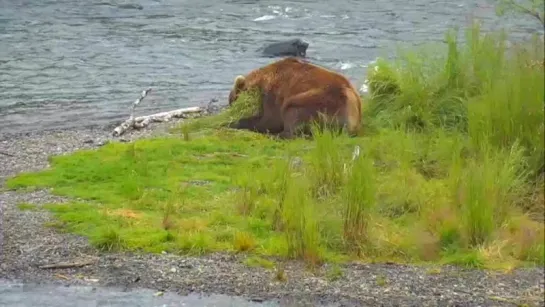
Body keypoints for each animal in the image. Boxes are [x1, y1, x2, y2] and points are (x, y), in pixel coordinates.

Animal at [225, 56, 362, 140]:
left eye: (231, 100)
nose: (229, 109)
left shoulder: (272, 95)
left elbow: (269, 120)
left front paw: (232, 123)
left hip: (319, 102)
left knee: (292, 114)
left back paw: (277, 135)